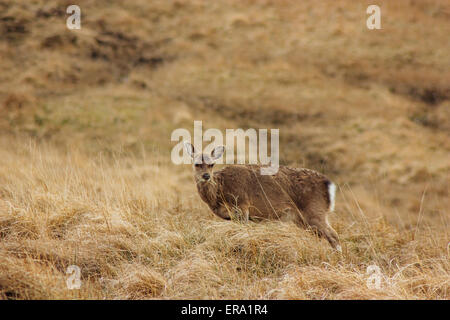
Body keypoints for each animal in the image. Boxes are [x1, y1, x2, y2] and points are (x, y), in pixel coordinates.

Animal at [183, 141, 342, 251]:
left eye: (212, 164)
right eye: (197, 164)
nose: (206, 176)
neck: (220, 193)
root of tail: (328, 184)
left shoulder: (242, 205)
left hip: (314, 209)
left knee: (334, 235)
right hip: (301, 218)